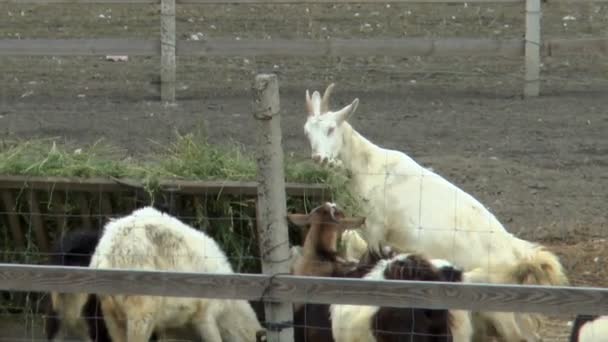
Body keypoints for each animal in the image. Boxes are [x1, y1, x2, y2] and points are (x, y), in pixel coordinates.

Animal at [304, 83, 568, 342]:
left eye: (331, 129)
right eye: (307, 132)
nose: (318, 159)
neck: (369, 167)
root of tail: (520, 254)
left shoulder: (376, 230)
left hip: (500, 309)